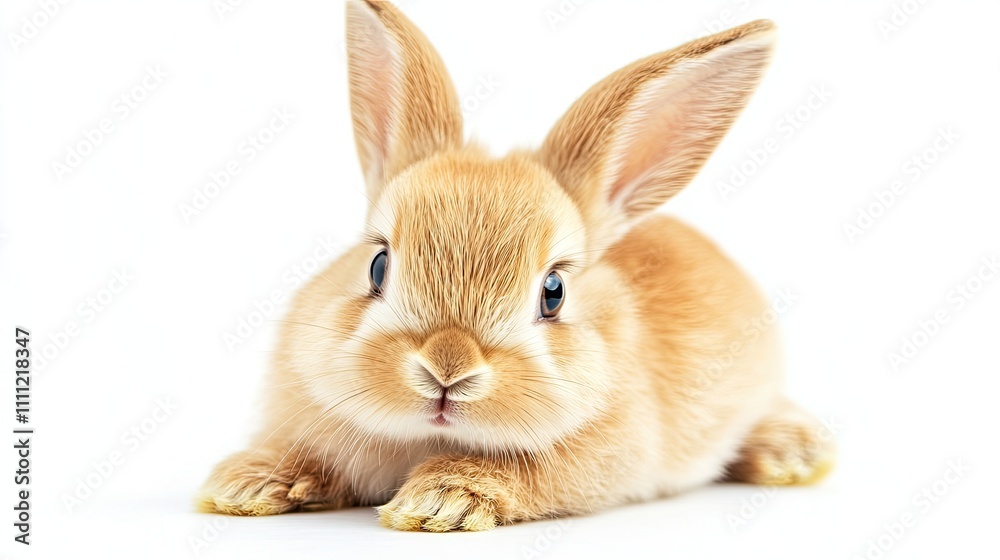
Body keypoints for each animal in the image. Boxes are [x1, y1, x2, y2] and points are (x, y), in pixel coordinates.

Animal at [198, 0, 834, 532]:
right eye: (378, 265)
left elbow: (527, 475)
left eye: (553, 291)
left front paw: (438, 502)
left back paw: (793, 453)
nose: (447, 370)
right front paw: (243, 485)